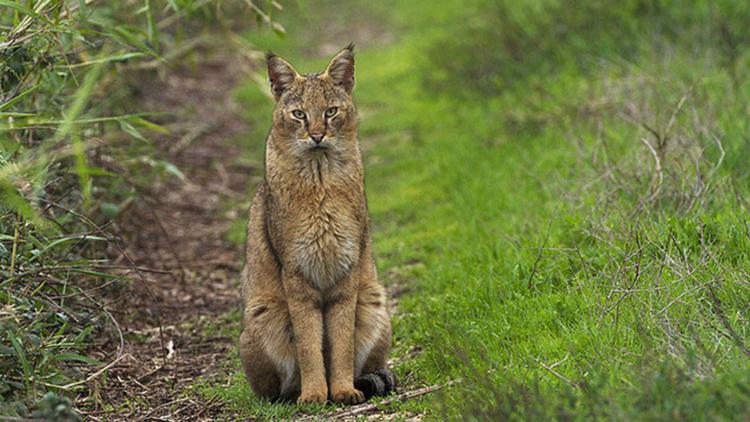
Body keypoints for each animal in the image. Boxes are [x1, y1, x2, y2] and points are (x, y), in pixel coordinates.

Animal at [241, 43, 396, 406]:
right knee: (273, 388)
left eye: (330, 112)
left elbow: (340, 342)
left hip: (373, 299)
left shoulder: (346, 270)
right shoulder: (296, 273)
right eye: (299, 114)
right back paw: (293, 392)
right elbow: (309, 343)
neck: (320, 177)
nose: (316, 136)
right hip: (263, 310)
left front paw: (341, 389)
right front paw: (314, 393)